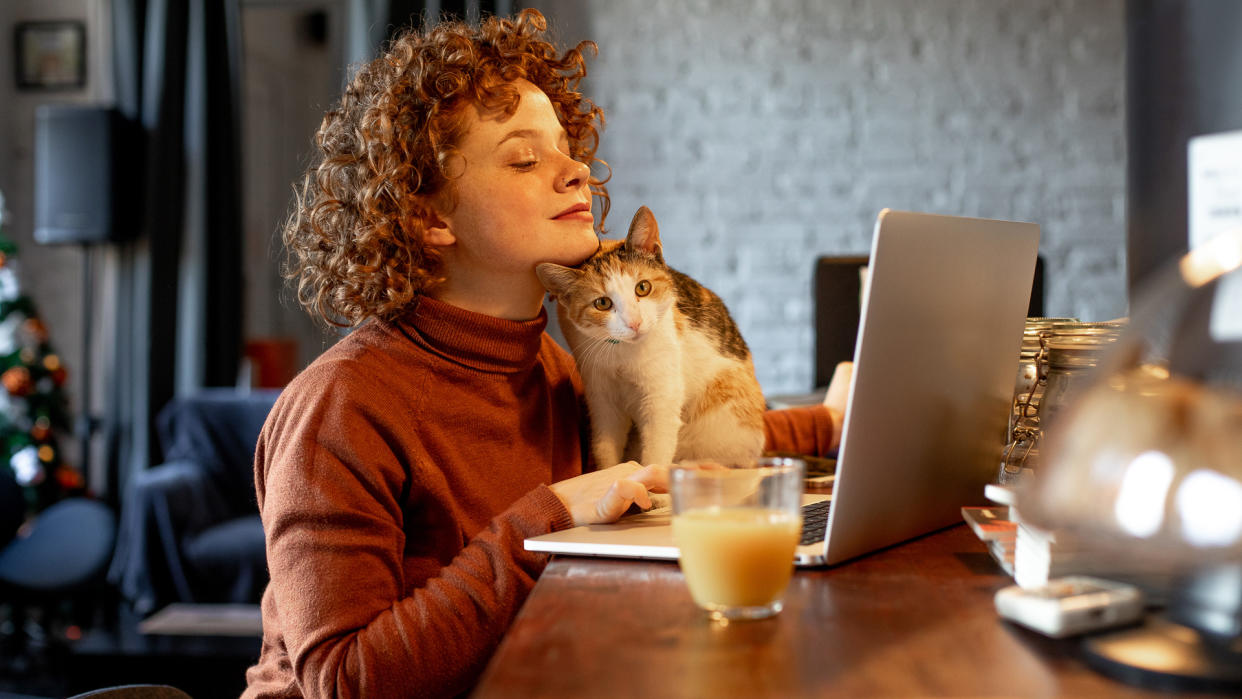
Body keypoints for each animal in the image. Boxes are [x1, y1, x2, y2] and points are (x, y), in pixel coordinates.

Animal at [536, 207, 765, 469]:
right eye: (602, 303)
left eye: (642, 287)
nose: (634, 323)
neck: (622, 354)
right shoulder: (601, 397)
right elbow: (605, 447)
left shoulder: (661, 395)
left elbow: (656, 449)